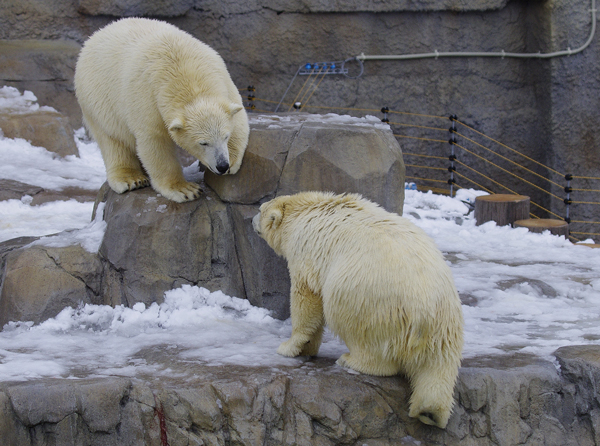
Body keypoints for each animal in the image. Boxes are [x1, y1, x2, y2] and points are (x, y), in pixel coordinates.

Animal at [75, 17, 248, 202]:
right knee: (112, 138)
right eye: (203, 143)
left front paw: (233, 160)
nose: (222, 165)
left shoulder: (221, 75)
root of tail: (97, 33)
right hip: (97, 98)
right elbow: (155, 141)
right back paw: (131, 179)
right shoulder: (148, 98)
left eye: (226, 136)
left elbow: (238, 115)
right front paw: (185, 189)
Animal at [252, 192, 464, 428]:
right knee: (437, 370)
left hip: (368, 300)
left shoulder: (305, 251)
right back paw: (430, 412)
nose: (252, 220)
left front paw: (289, 346)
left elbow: (306, 297)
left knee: (355, 327)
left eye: (260, 210)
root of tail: (429, 315)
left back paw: (351, 360)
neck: (304, 209)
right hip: (446, 331)